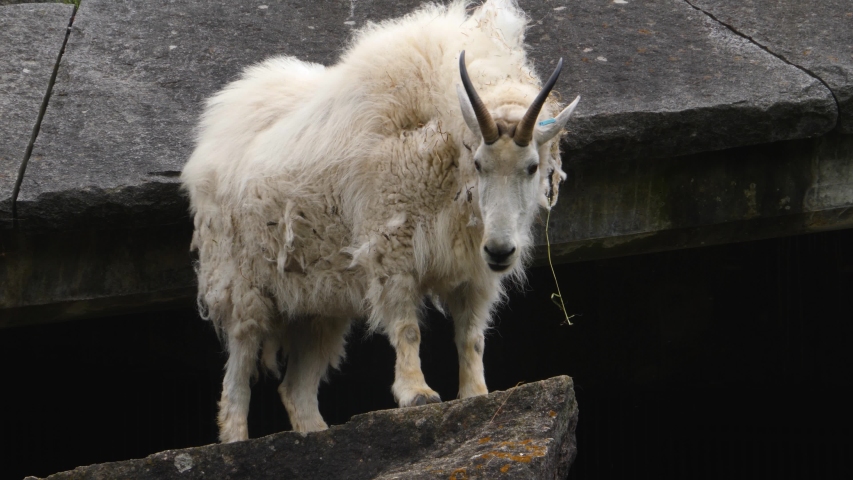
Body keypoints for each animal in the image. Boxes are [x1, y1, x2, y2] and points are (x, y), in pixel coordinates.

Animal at [181, 0, 580, 442]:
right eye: (479, 163)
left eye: (532, 166)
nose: (500, 250)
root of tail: (214, 135)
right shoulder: (393, 250)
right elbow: (408, 328)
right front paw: (417, 394)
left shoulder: (474, 274)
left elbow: (471, 337)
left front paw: (476, 393)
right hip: (243, 284)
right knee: (239, 368)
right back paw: (235, 438)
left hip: (319, 303)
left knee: (295, 388)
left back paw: (316, 432)